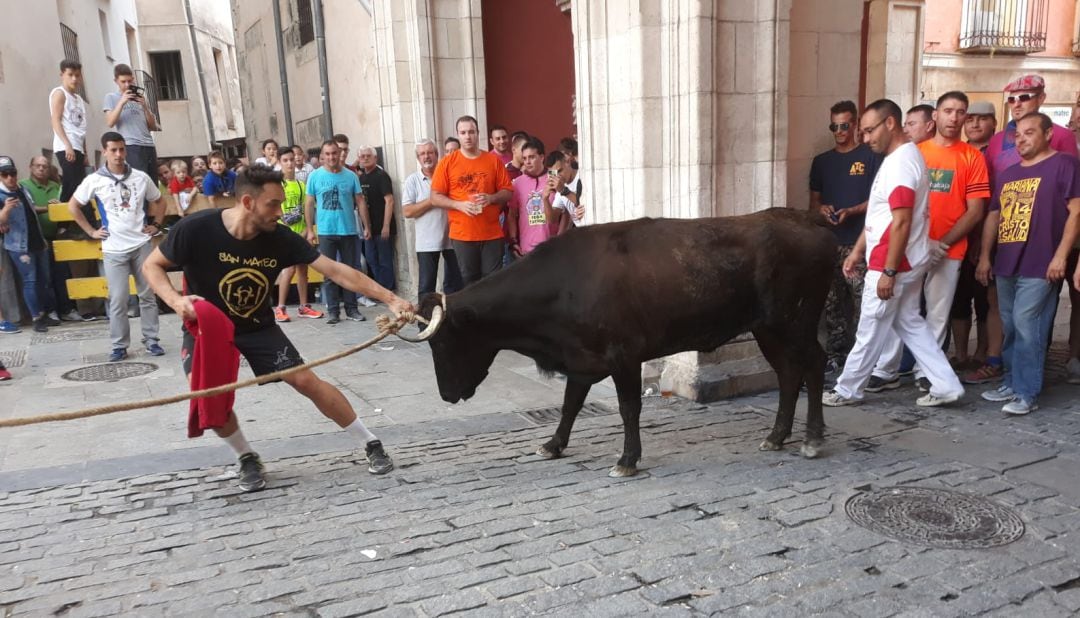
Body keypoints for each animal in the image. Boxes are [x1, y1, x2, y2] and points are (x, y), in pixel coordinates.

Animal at [419, 207, 833, 477]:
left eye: (442, 344)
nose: (445, 395)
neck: (564, 284)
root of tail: (806, 218)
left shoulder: (624, 356)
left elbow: (628, 408)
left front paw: (627, 459)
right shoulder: (582, 360)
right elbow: (570, 405)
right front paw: (553, 444)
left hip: (795, 323)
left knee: (813, 366)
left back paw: (812, 439)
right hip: (769, 330)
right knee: (788, 375)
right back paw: (776, 436)